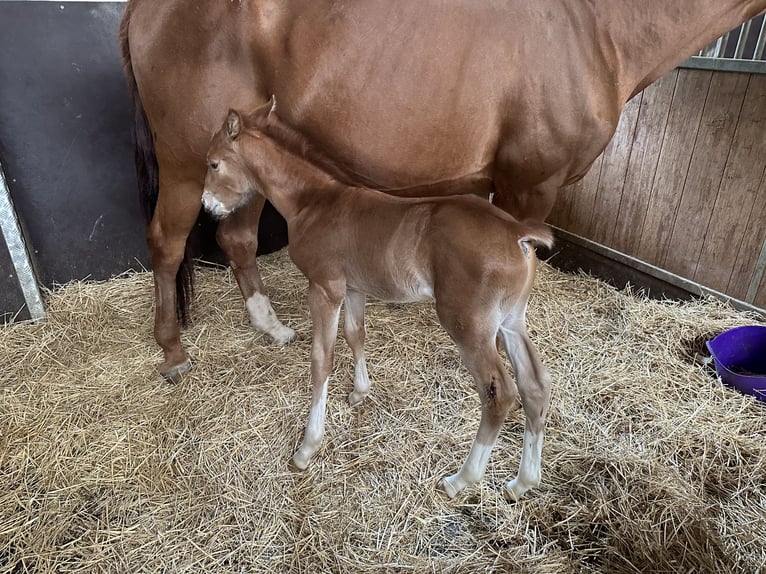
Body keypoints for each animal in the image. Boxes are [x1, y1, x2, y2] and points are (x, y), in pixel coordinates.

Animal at [120, 1, 766, 382]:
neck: (593, 29)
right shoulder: (529, 185)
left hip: (244, 165)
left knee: (235, 237)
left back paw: (272, 328)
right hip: (190, 164)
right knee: (168, 243)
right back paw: (172, 351)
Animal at [201, 106, 556, 502]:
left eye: (213, 163)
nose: (207, 207)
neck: (314, 202)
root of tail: (517, 233)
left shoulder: (325, 286)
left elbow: (322, 359)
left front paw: (308, 447)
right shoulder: (354, 287)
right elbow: (356, 334)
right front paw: (360, 391)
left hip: (470, 325)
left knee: (500, 393)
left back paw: (461, 479)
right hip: (511, 320)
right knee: (535, 386)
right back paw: (522, 482)